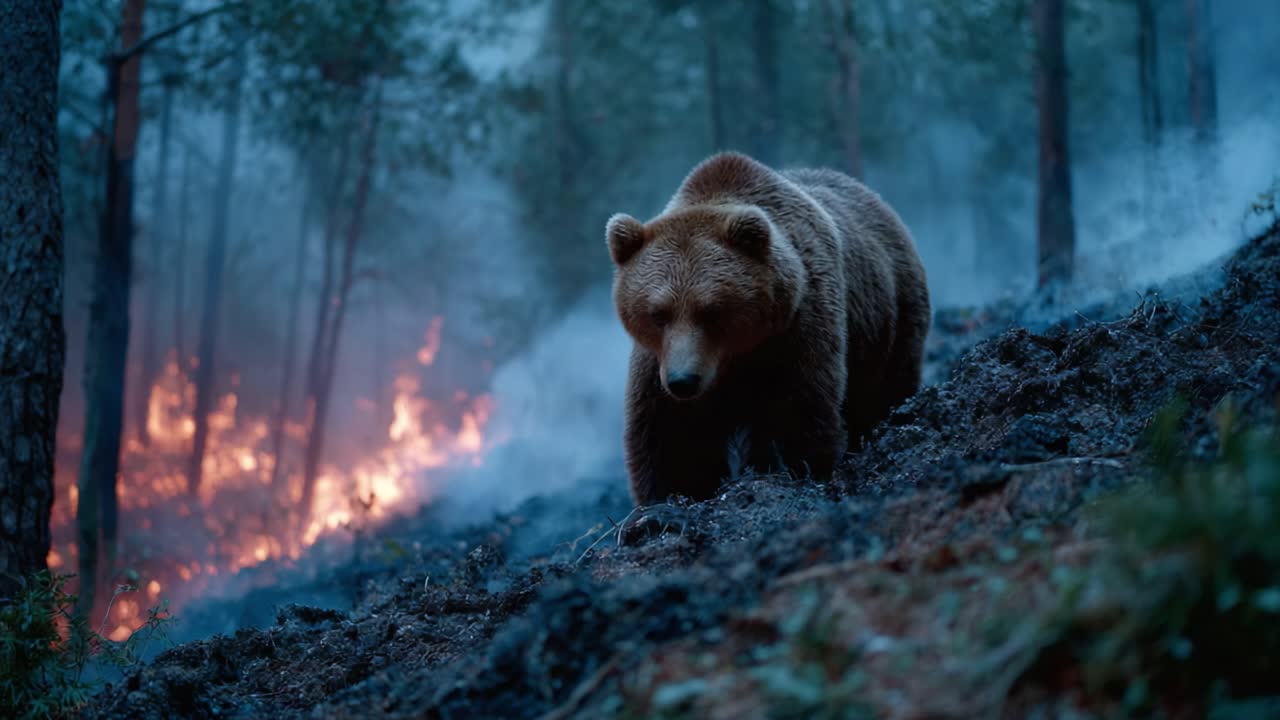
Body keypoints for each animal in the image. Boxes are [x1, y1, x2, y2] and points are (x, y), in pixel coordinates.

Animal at [606, 151, 931, 506]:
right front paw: (671, 496)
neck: (735, 357)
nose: (683, 381)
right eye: (658, 313)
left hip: (891, 314)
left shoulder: (798, 330)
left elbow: (800, 410)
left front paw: (800, 469)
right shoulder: (658, 362)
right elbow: (672, 439)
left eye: (711, 311)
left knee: (885, 387)